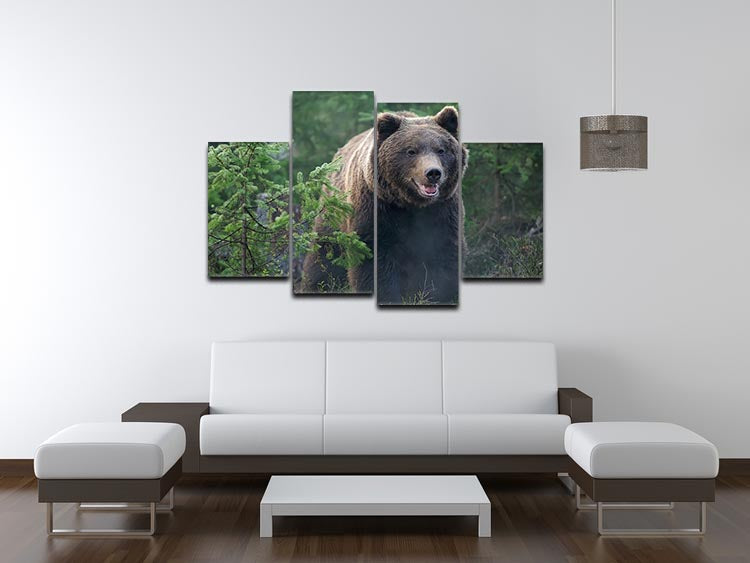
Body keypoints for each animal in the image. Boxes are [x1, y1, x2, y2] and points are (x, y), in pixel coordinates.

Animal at [300, 106, 466, 304]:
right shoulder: (377, 209)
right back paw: (316, 284)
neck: (411, 204)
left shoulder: (443, 210)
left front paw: (439, 295)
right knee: (324, 252)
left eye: (441, 150)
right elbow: (374, 258)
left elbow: (445, 253)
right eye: (411, 151)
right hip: (333, 213)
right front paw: (385, 295)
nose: (433, 173)